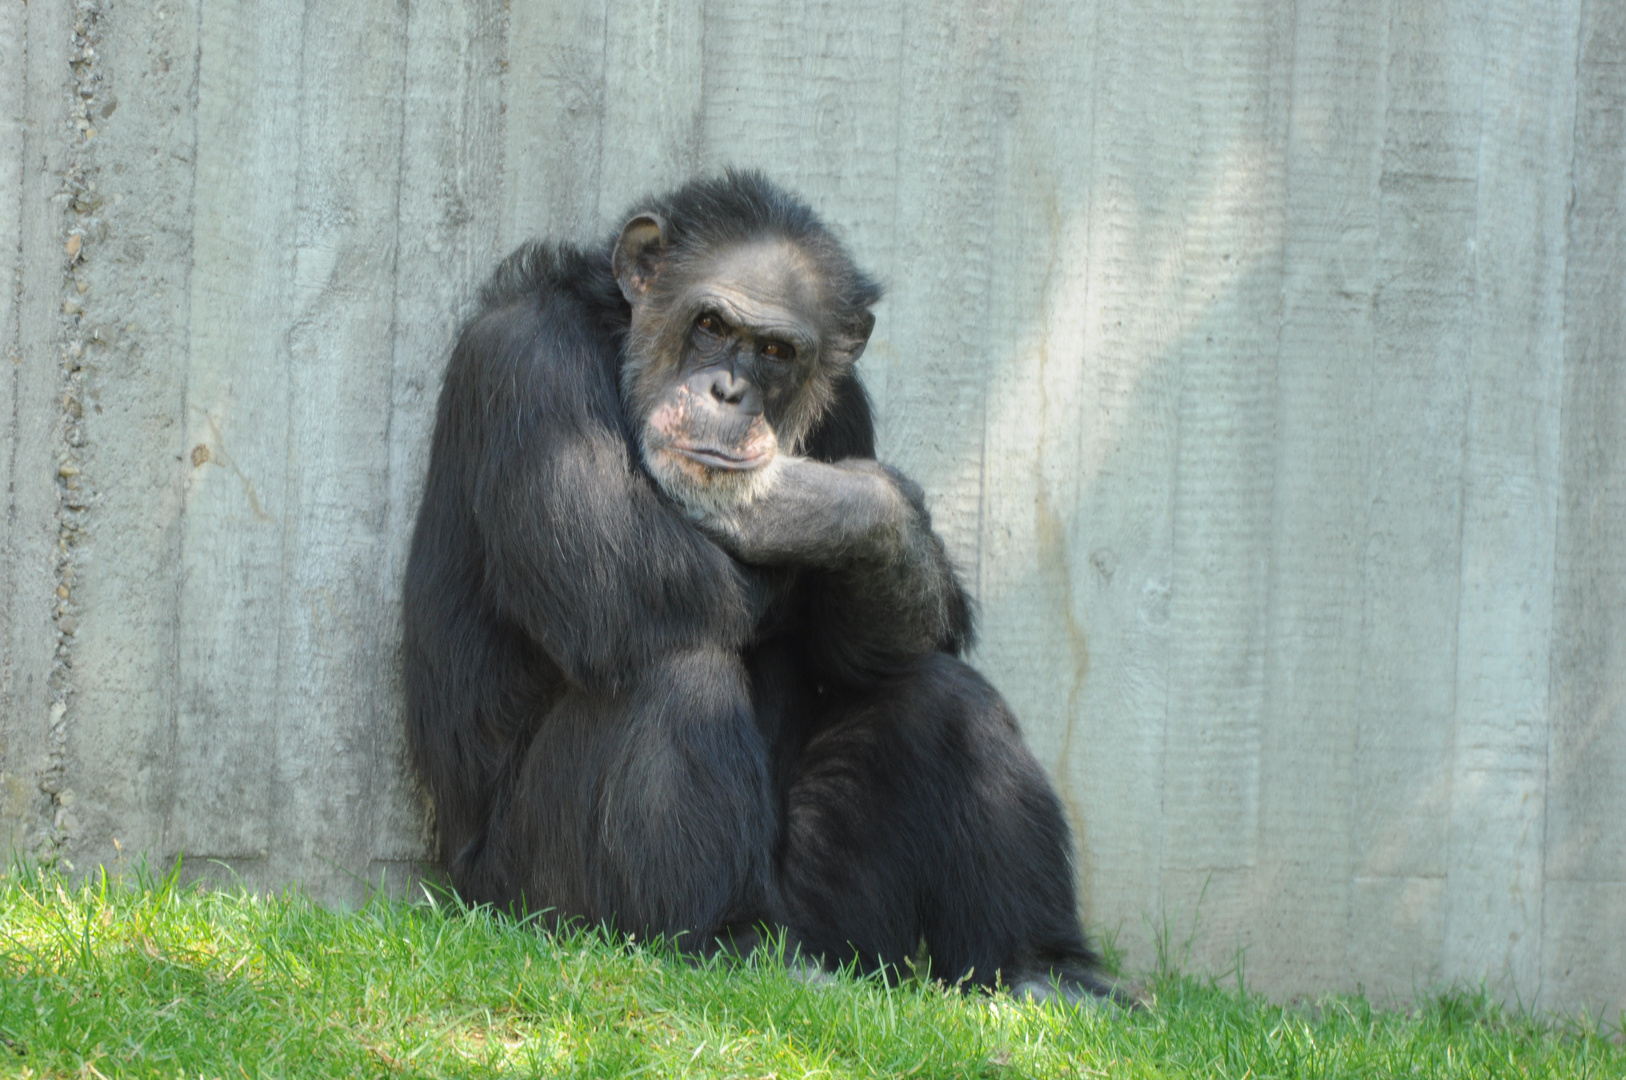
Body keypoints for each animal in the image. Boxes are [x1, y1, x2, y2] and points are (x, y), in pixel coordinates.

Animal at [403, 170, 1118, 1001]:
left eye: (775, 350)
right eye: (711, 324)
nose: (728, 393)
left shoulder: (848, 409)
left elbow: (859, 652)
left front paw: (829, 504)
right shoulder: (526, 363)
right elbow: (615, 572)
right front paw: (793, 503)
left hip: (839, 925)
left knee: (942, 692)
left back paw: (1045, 968)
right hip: (534, 901)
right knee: (672, 663)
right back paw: (721, 937)